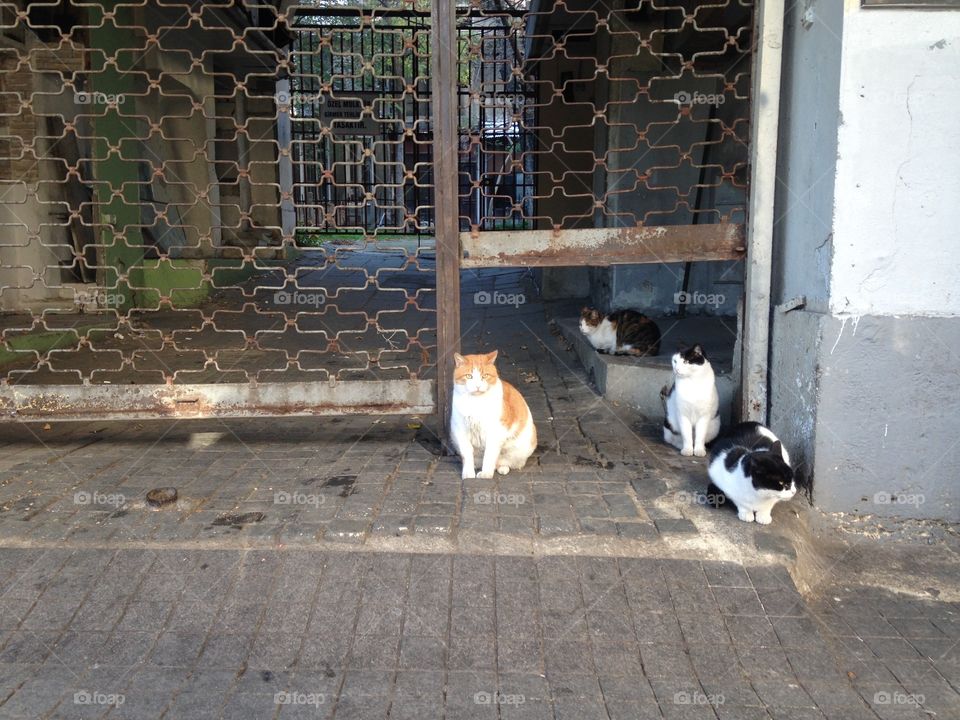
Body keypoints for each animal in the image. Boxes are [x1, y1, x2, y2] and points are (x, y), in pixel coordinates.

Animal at [452, 350, 536, 478]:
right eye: (469, 376)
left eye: (485, 376)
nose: (477, 386)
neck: (475, 403)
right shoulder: (460, 430)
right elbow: (467, 453)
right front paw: (468, 473)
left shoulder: (495, 432)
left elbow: (489, 455)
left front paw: (486, 474)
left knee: (504, 462)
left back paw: (501, 468)